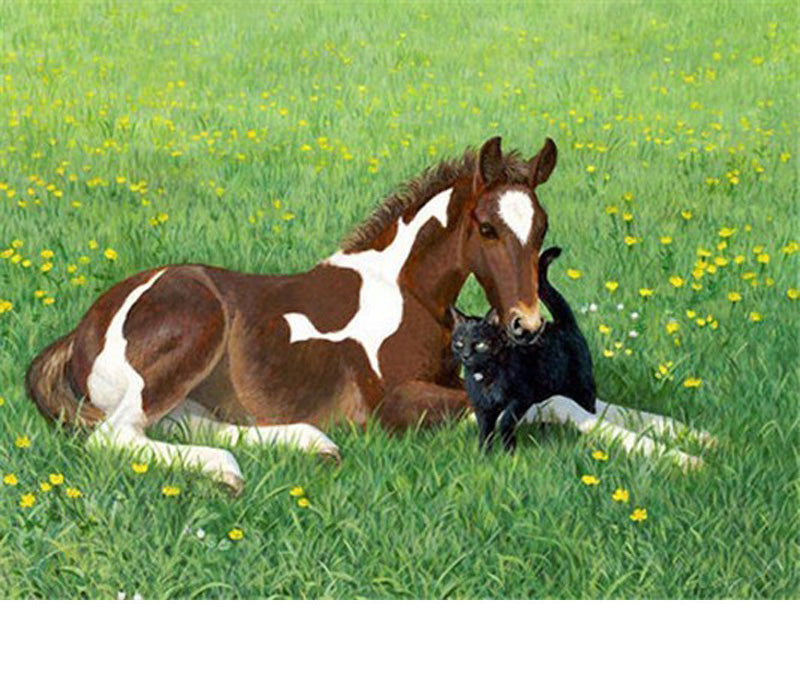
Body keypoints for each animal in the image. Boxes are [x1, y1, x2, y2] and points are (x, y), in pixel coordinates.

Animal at [26, 136, 558, 493]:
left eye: (542, 227)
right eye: (487, 228)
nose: (527, 325)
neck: (406, 291)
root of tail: (81, 332)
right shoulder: (392, 405)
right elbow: (527, 406)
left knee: (186, 422)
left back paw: (312, 442)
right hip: (195, 328)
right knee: (115, 435)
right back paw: (226, 469)